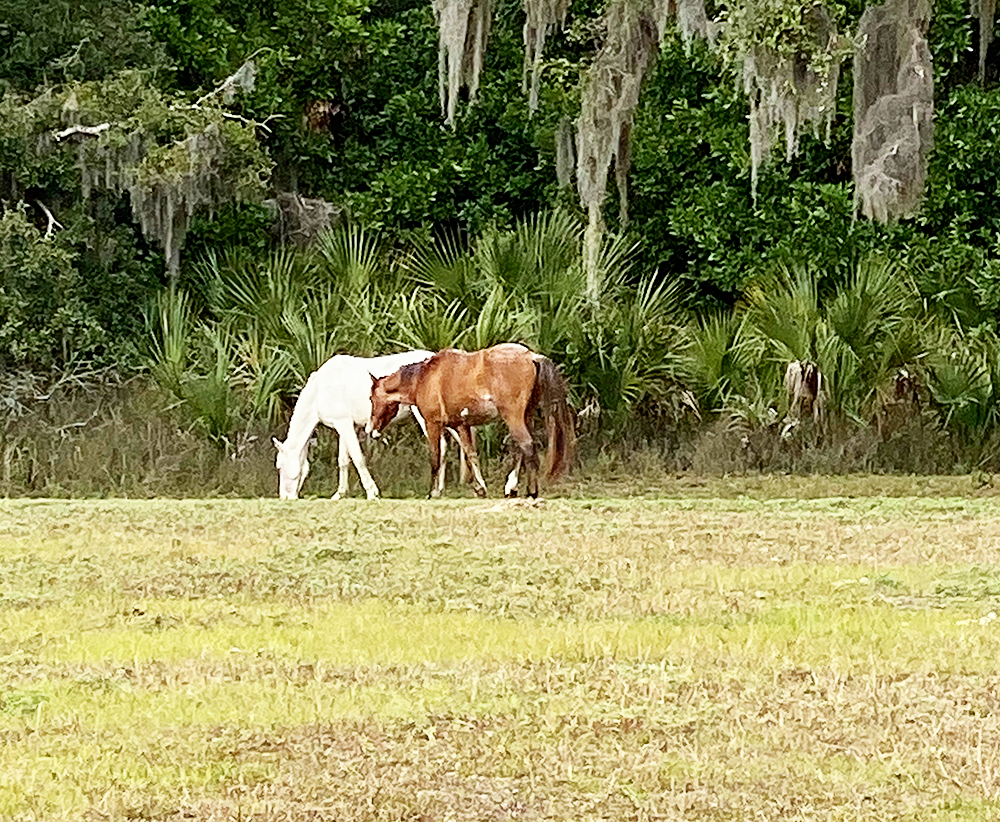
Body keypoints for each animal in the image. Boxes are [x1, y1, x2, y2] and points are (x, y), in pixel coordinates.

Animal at [272, 350, 456, 502]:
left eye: (280, 467)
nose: (285, 497)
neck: (320, 390)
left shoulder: (344, 424)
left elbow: (357, 457)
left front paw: (372, 492)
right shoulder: (345, 426)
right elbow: (343, 460)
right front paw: (339, 494)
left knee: (440, 446)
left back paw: (436, 491)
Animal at [368, 342, 576, 498]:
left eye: (371, 398)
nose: (371, 430)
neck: (423, 378)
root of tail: (532, 356)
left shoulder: (432, 424)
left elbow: (435, 458)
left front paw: (432, 492)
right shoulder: (461, 425)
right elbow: (471, 454)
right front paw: (480, 489)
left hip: (513, 417)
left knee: (527, 447)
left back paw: (530, 491)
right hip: (526, 416)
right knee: (520, 450)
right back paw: (512, 487)